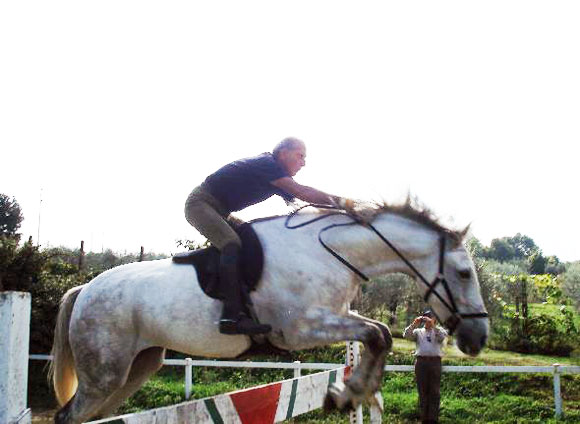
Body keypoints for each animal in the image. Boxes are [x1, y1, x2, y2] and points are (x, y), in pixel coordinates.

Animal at [49, 204, 490, 422]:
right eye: (464, 273)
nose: (478, 339)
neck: (332, 251)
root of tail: (85, 289)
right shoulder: (300, 328)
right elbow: (378, 333)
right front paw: (349, 394)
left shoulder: (333, 316)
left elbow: (378, 333)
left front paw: (350, 394)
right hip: (104, 374)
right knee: (68, 416)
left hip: (137, 367)